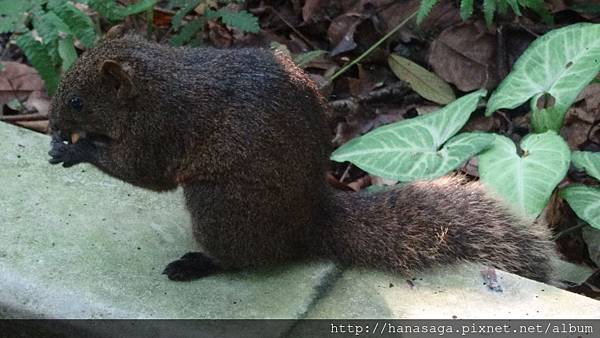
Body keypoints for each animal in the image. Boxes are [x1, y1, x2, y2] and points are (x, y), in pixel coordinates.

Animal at [48, 27, 556, 284]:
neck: (155, 82)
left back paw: (200, 264)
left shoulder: (162, 128)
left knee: (246, 259)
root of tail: (308, 225)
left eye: (77, 101)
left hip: (221, 206)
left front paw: (77, 148)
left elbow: (147, 173)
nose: (51, 125)